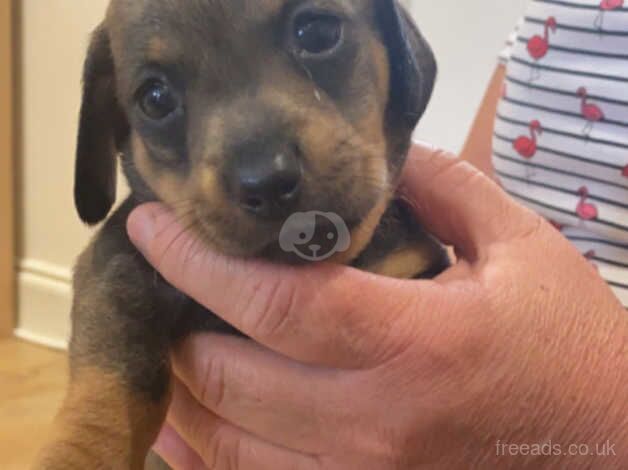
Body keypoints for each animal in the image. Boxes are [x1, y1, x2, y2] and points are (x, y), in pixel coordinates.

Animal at [35, 1, 446, 468]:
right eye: (155, 99)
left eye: (318, 32)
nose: (266, 181)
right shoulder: (120, 258)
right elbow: (118, 377)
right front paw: (79, 454)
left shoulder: (411, 267)